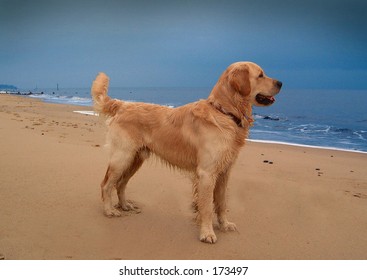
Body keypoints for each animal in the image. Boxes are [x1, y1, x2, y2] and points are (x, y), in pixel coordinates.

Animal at [91, 61, 282, 243]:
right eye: (260, 75)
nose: (281, 83)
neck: (224, 112)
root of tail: (123, 104)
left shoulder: (224, 172)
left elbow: (221, 203)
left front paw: (224, 224)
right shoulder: (207, 173)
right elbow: (206, 207)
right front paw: (207, 233)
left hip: (135, 159)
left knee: (121, 184)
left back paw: (125, 205)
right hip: (122, 157)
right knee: (106, 184)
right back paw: (109, 210)